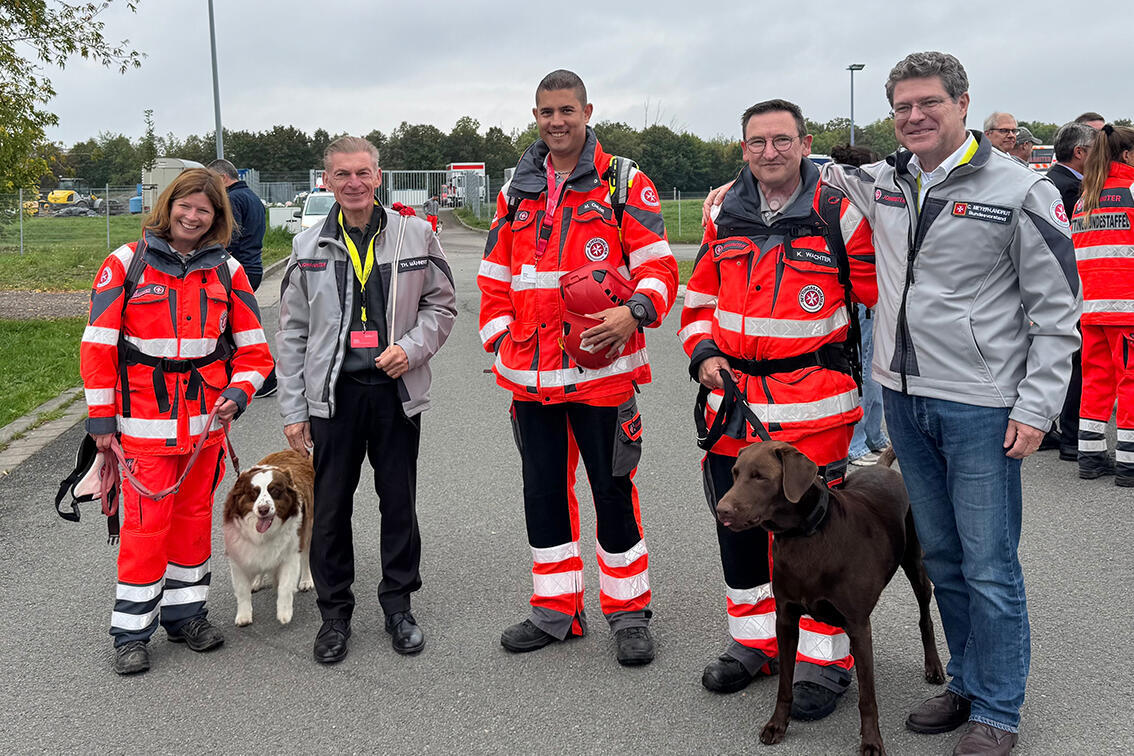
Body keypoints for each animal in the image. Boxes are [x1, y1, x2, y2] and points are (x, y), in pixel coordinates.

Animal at [222, 450, 315, 626]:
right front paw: (244, 615)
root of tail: (292, 451)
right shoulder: (239, 555)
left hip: (307, 528)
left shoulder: (290, 552)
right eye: (254, 492)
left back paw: (306, 580)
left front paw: (284, 613)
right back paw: (256, 582)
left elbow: (285, 586)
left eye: (275, 491)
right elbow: (242, 590)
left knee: (306, 556)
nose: (263, 509)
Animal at [714, 441, 944, 756]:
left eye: (760, 477)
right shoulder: (786, 620)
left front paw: (871, 741)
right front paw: (777, 725)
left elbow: (867, 698)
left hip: (915, 564)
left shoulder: (858, 627)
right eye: (735, 474)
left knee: (925, 617)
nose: (721, 510)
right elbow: (785, 685)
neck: (804, 538)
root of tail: (884, 469)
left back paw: (933, 666)